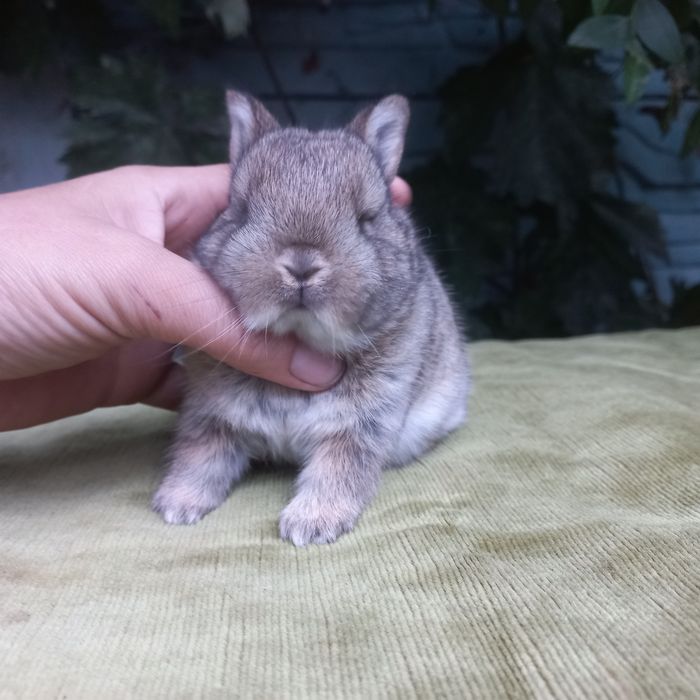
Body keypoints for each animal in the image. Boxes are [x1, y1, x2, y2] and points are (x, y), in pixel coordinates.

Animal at [152, 91, 470, 546]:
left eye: (367, 218)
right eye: (240, 211)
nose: (301, 265)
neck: (303, 338)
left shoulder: (360, 425)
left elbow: (339, 471)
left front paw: (310, 525)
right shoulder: (210, 414)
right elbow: (200, 454)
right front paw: (177, 505)